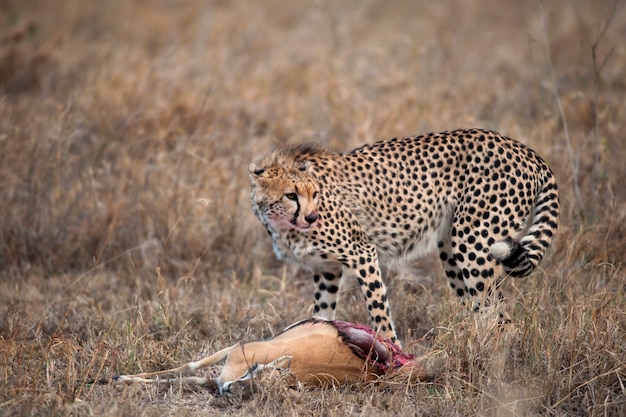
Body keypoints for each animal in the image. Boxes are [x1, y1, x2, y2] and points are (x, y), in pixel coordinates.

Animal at [246, 127, 560, 342]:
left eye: (314, 194)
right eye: (291, 195)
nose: (312, 217)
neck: (285, 226)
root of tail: (524, 149)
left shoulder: (362, 252)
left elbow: (378, 308)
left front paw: (390, 351)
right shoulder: (327, 269)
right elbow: (322, 312)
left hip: (472, 243)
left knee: (501, 318)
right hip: (452, 249)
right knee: (485, 310)